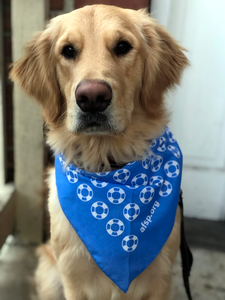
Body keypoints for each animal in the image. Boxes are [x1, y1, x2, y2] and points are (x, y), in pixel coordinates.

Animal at [11, 4, 189, 300]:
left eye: (123, 46)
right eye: (68, 50)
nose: (92, 97)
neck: (109, 167)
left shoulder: (161, 280)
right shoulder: (72, 278)